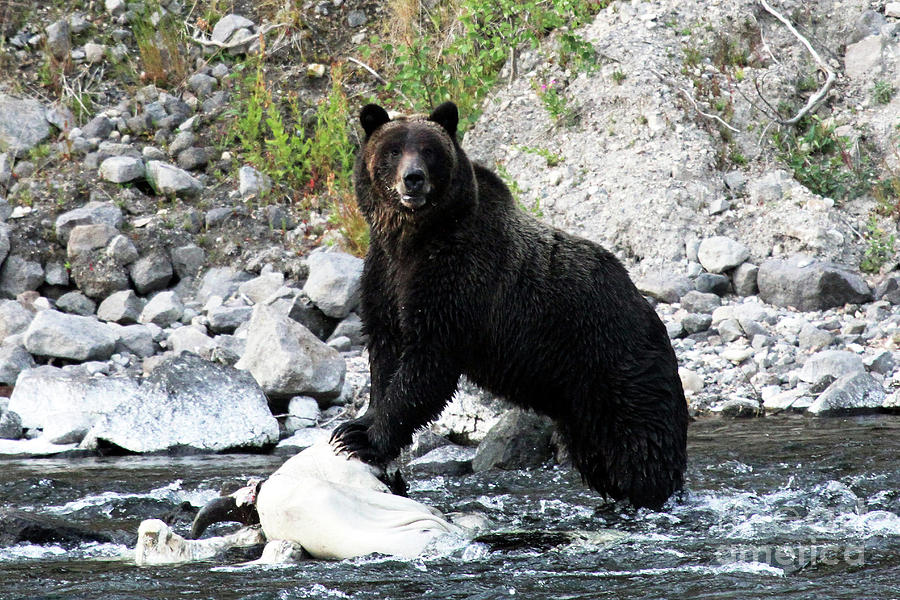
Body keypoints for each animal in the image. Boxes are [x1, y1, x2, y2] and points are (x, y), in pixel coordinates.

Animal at [332, 101, 688, 508]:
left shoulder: (457, 280)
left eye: (428, 150)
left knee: (640, 451)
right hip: (582, 407)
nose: (413, 179)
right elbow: (385, 351)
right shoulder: (384, 277)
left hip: (619, 371)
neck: (411, 239)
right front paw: (356, 425)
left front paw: (366, 439)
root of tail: (651, 315)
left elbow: (426, 367)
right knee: (601, 458)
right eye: (393, 150)